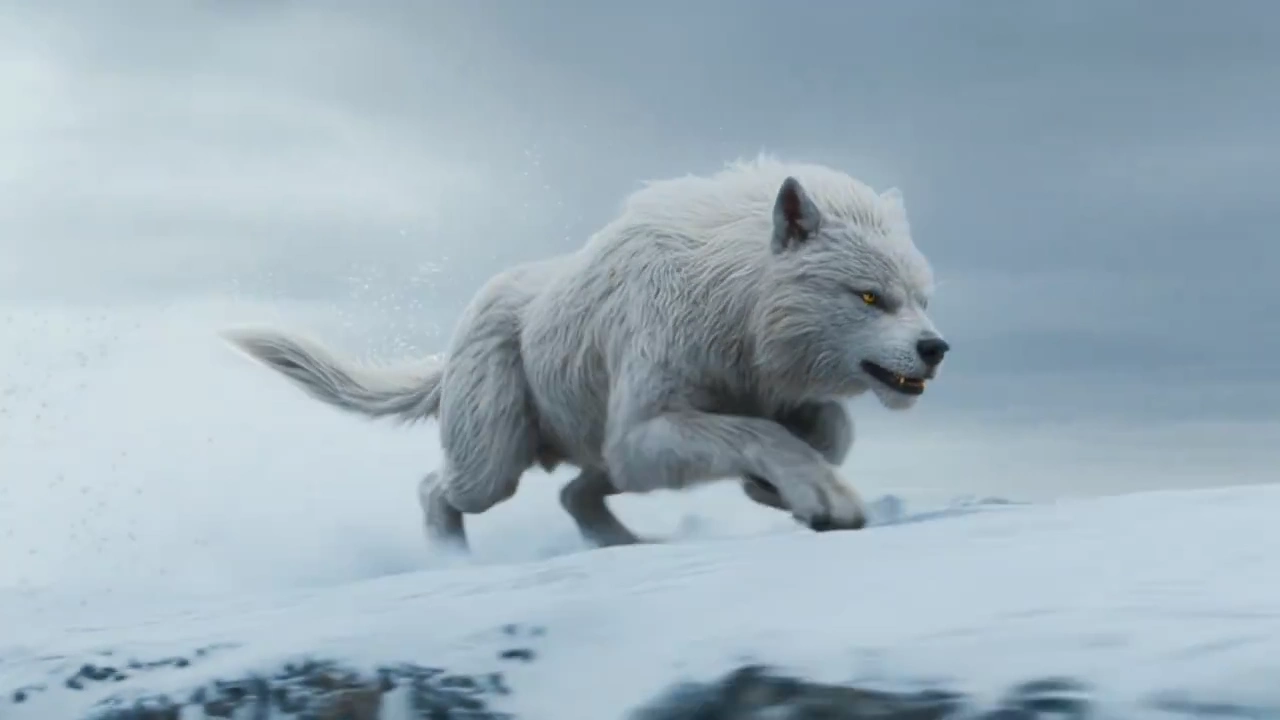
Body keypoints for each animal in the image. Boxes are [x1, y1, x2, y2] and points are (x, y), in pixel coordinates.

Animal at [223, 156, 949, 553]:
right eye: (869, 296)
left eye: (922, 298)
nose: (936, 349)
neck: (735, 303)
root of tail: (452, 342)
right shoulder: (647, 424)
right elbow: (763, 433)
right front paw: (821, 496)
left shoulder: (752, 399)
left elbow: (828, 428)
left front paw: (776, 488)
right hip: (494, 461)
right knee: (439, 487)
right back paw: (453, 559)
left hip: (587, 449)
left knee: (575, 494)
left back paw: (628, 544)